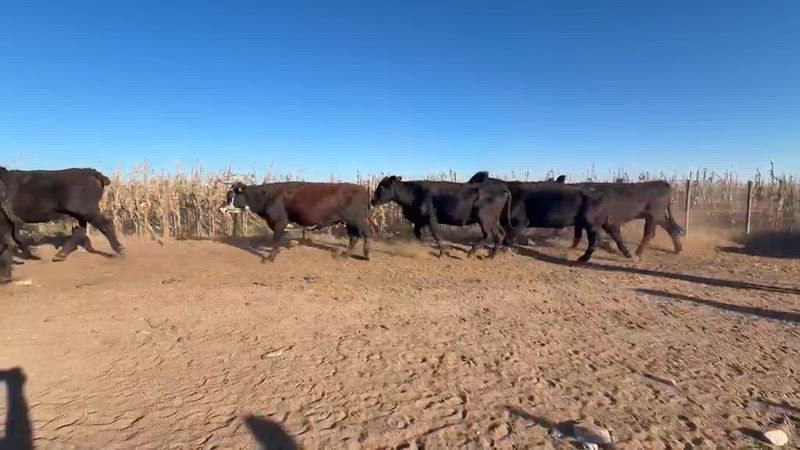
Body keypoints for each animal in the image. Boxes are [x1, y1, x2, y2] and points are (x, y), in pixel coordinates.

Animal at [221, 181, 372, 262]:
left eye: (230, 196)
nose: (220, 208)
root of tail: (362, 188)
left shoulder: (279, 221)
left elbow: (276, 240)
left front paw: (270, 257)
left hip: (357, 219)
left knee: (367, 232)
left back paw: (367, 253)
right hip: (350, 222)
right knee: (354, 237)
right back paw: (344, 255)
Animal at [370, 176, 512, 258]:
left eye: (382, 186)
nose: (372, 201)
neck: (415, 193)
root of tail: (501, 189)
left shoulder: (431, 218)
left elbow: (436, 234)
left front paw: (442, 253)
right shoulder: (419, 220)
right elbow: (417, 233)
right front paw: (421, 245)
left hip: (484, 218)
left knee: (489, 235)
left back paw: (472, 252)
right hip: (493, 220)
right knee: (500, 234)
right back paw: (491, 255)